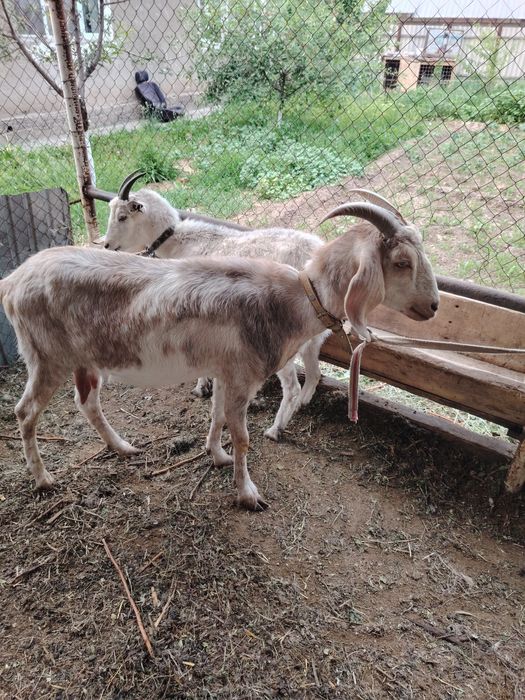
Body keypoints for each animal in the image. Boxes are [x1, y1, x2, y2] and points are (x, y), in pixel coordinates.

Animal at [0, 202, 439, 510]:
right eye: (402, 262)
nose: (434, 307)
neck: (291, 300)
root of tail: (13, 280)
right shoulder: (243, 376)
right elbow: (242, 436)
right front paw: (248, 493)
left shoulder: (225, 371)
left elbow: (215, 417)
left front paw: (217, 455)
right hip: (46, 357)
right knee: (25, 412)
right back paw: (43, 479)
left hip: (84, 360)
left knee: (87, 403)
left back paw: (123, 448)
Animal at [102, 171, 328, 439]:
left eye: (122, 216)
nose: (107, 245)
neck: (180, 242)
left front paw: (201, 387)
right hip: (313, 337)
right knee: (314, 374)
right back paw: (301, 405)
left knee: (292, 387)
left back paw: (275, 429)